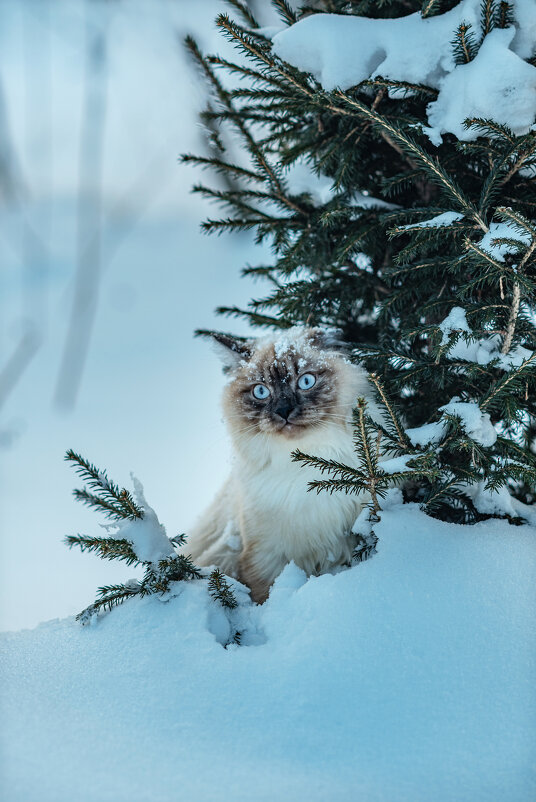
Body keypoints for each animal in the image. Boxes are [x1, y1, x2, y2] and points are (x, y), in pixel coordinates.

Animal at [184, 324, 386, 600]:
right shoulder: (266, 558)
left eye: (305, 381)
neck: (305, 467)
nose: (283, 411)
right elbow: (265, 598)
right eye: (260, 391)